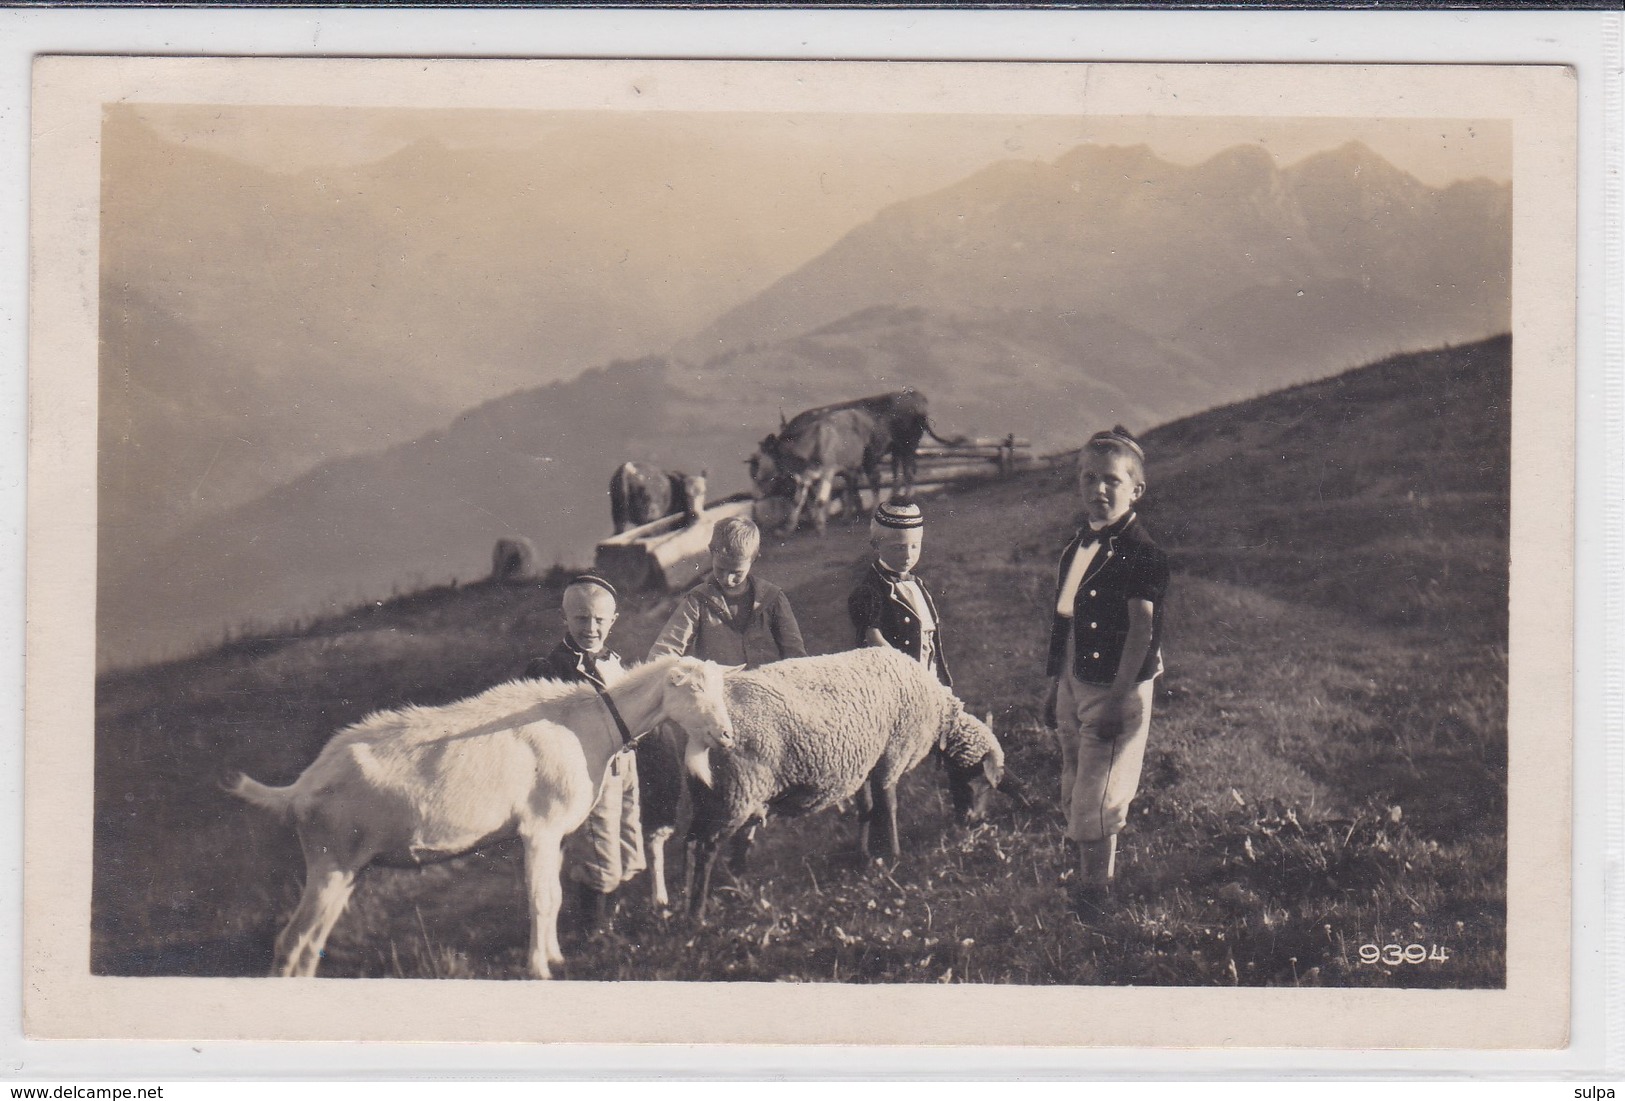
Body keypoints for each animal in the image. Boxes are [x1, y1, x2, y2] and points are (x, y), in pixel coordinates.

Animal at [679, 652, 1007, 915]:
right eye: (980, 782)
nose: (974, 821)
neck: (939, 715)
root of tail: (696, 733)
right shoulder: (893, 753)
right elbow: (889, 806)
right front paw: (895, 857)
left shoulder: (865, 762)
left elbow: (867, 807)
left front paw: (866, 855)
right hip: (737, 791)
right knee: (706, 848)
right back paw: (697, 916)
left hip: (713, 794)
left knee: (692, 841)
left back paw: (705, 897)